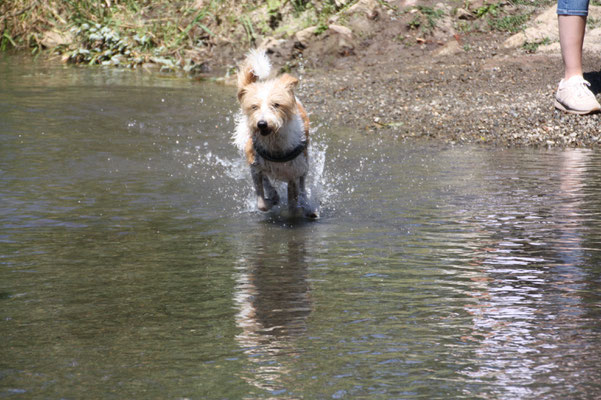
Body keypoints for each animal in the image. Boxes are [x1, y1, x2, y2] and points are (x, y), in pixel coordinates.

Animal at [233, 50, 318, 219]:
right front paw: (272, 200)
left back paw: (307, 207)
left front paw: (297, 209)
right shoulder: (255, 167)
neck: (275, 142)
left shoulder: (293, 173)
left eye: (276, 105)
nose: (262, 124)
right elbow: (262, 201)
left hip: (303, 164)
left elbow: (294, 201)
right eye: (254, 107)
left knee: (302, 186)